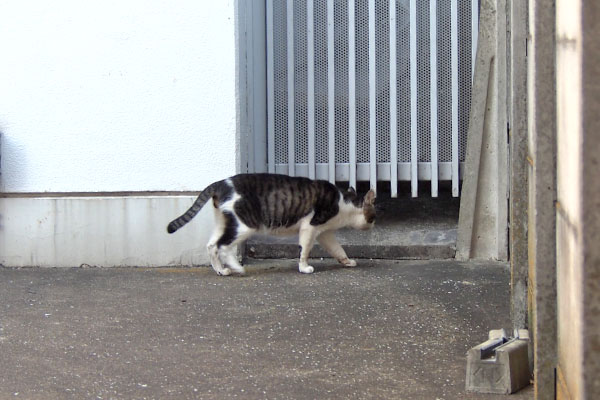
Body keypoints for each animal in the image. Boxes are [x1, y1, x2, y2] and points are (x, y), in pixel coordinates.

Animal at [166, 172, 376, 276]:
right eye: (374, 215)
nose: (373, 223)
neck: (344, 203)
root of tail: (221, 183)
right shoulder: (310, 226)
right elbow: (304, 250)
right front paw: (304, 268)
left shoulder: (324, 233)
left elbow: (338, 249)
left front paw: (347, 261)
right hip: (245, 225)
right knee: (223, 247)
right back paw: (237, 268)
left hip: (225, 221)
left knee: (211, 245)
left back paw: (220, 271)